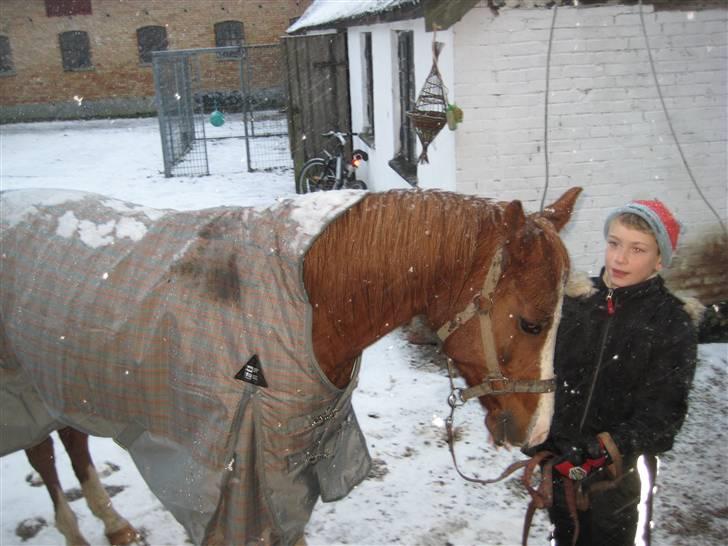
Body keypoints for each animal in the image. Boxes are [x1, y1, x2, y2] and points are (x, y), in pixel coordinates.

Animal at [0, 185, 580, 540]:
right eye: (532, 323)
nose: (539, 432)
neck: (307, 298)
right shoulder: (233, 483)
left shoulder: (288, 466)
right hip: (22, 387)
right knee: (43, 453)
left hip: (56, 382)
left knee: (68, 439)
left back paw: (112, 523)